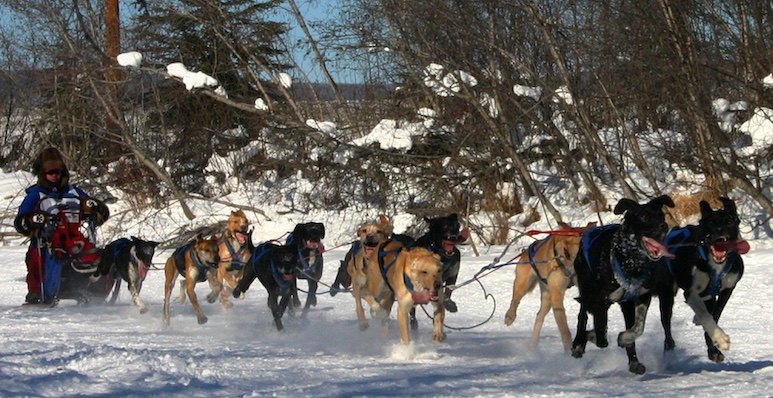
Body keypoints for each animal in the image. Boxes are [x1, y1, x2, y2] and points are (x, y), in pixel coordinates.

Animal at [504, 222, 596, 352]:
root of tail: (526, 251)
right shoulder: (557, 295)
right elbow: (564, 330)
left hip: (547, 298)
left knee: (539, 316)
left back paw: (533, 344)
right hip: (523, 285)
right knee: (515, 299)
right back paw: (510, 316)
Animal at [568, 196, 672, 376]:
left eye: (661, 215)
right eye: (644, 216)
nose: (664, 226)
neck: (631, 261)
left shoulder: (641, 297)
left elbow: (638, 327)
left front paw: (625, 338)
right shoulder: (600, 301)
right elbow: (601, 337)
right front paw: (589, 336)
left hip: (624, 305)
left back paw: (634, 362)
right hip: (589, 292)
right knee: (583, 316)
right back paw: (579, 344)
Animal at [656, 197, 748, 362]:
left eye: (730, 221)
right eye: (710, 223)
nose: (719, 230)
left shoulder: (727, 290)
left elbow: (715, 314)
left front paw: (713, 348)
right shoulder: (691, 293)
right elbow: (706, 315)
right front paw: (720, 338)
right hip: (666, 296)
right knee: (667, 327)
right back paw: (669, 351)